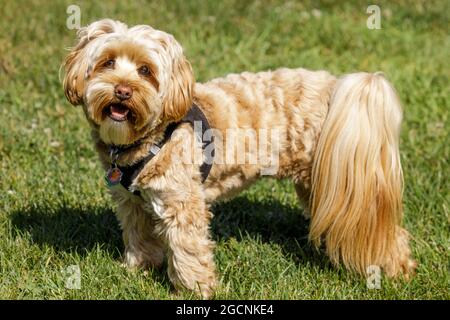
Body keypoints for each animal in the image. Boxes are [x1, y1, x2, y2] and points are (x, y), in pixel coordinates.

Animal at [62, 19, 414, 298]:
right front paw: (137, 269)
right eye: (107, 63)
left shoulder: (183, 203)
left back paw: (396, 271)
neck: (148, 136)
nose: (122, 90)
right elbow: (138, 235)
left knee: (386, 231)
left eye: (146, 71)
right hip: (321, 180)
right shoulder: (130, 202)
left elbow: (189, 250)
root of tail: (336, 86)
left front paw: (195, 290)